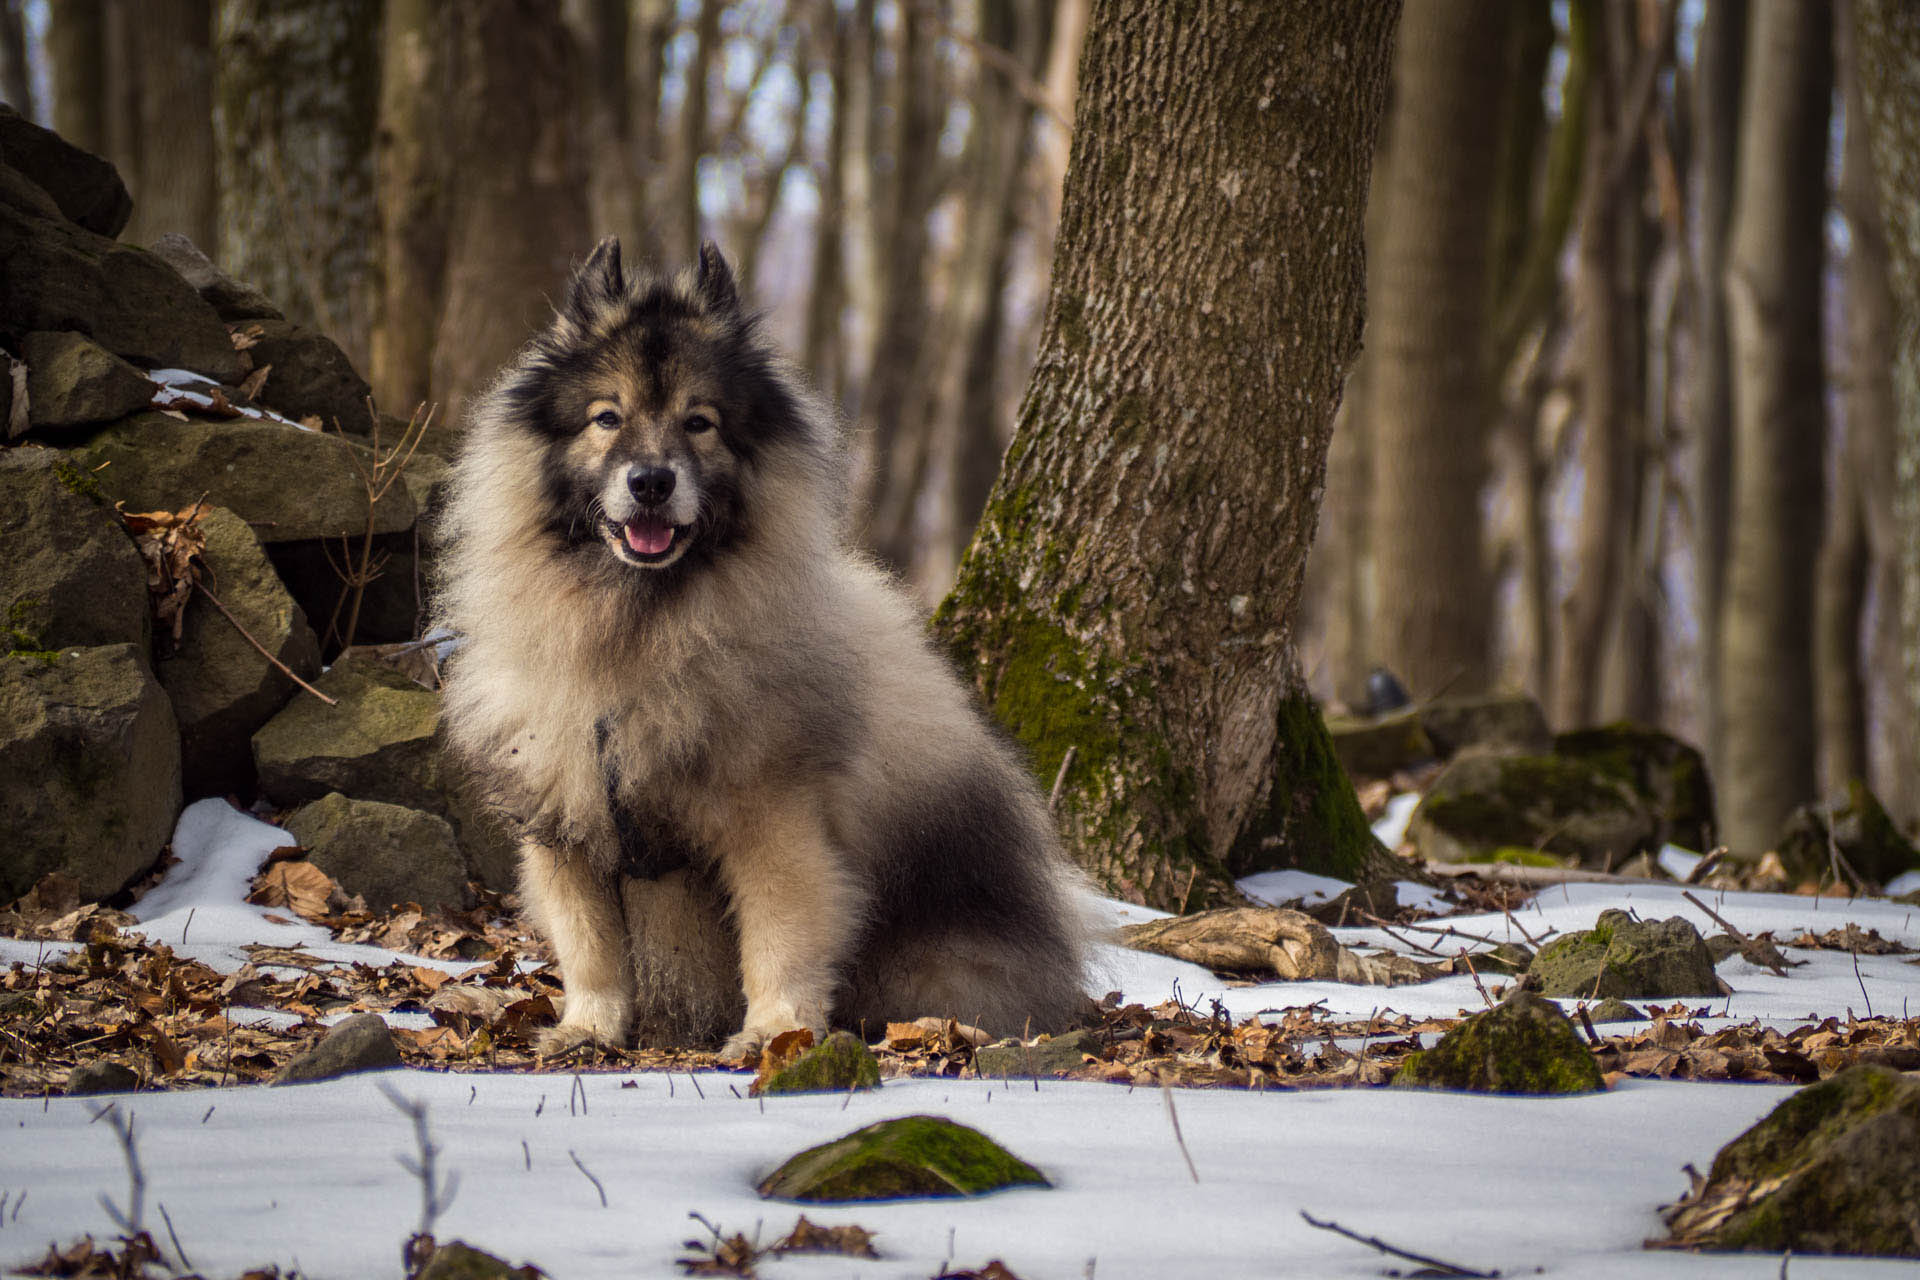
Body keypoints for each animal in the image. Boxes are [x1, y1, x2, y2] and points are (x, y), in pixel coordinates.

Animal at [439, 239, 1098, 1059]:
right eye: (606, 418)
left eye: (700, 423)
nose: (650, 481)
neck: (637, 631)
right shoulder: (566, 822)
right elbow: (590, 948)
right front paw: (586, 1030)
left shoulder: (772, 817)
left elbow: (779, 935)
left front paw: (776, 1034)